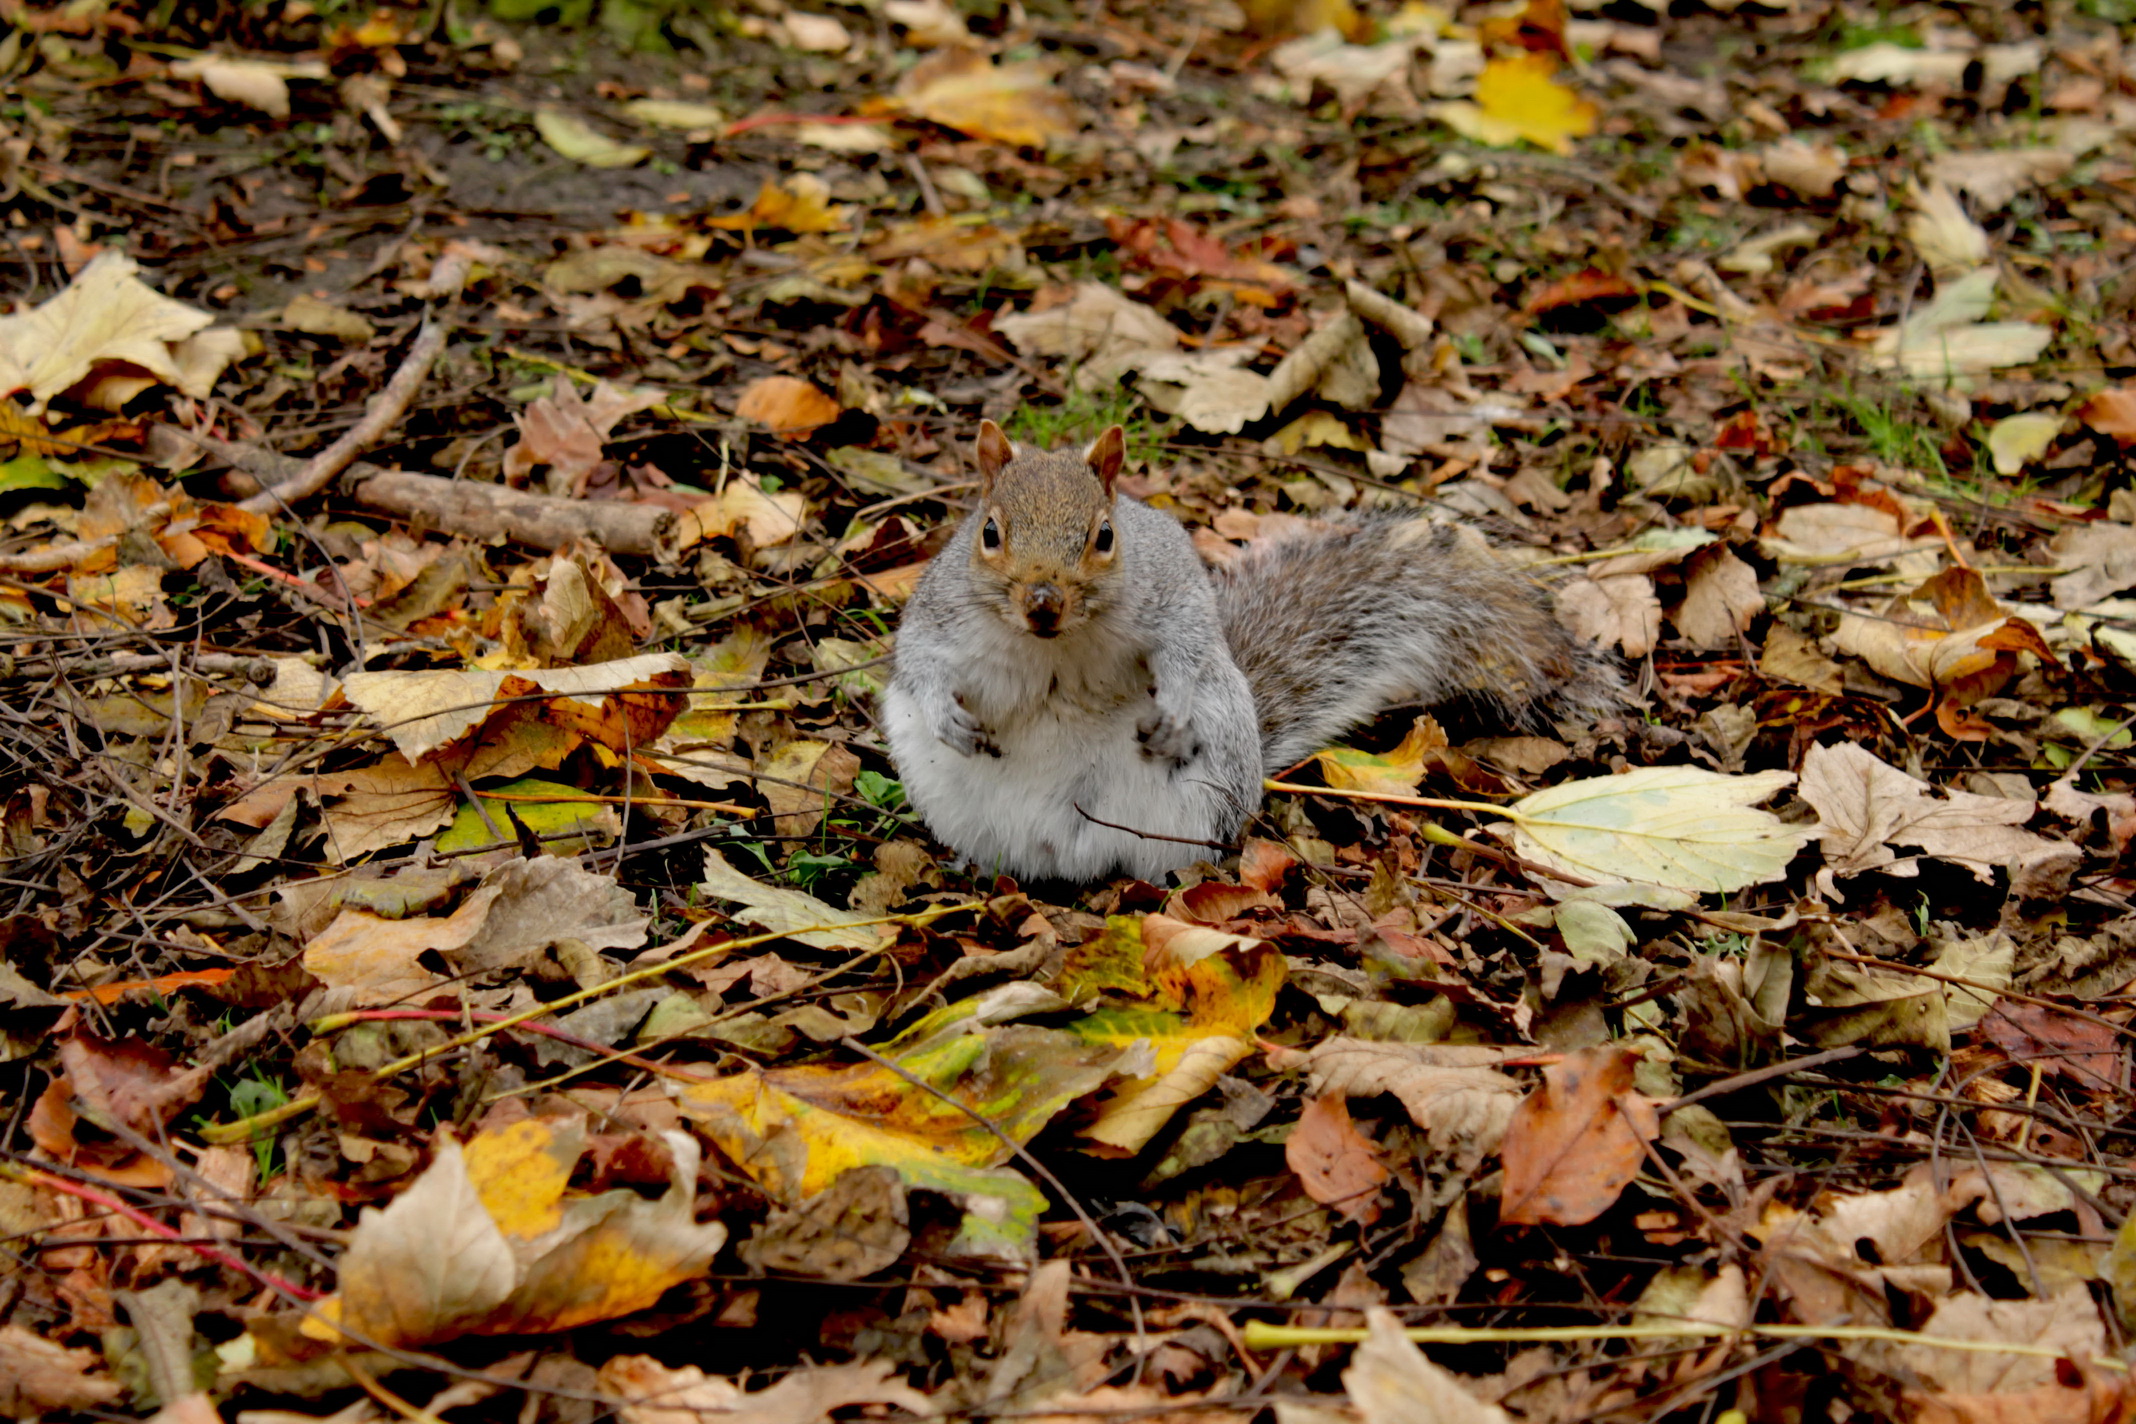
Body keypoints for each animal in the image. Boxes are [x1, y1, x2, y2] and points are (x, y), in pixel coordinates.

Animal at [878, 421, 1621, 885]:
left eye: (1105, 536)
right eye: (989, 531)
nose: (1043, 602)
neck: (1056, 645)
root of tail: (1066, 855)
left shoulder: (1176, 600)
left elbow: (1190, 652)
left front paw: (1172, 715)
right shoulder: (939, 615)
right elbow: (919, 663)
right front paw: (948, 717)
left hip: (1207, 786)